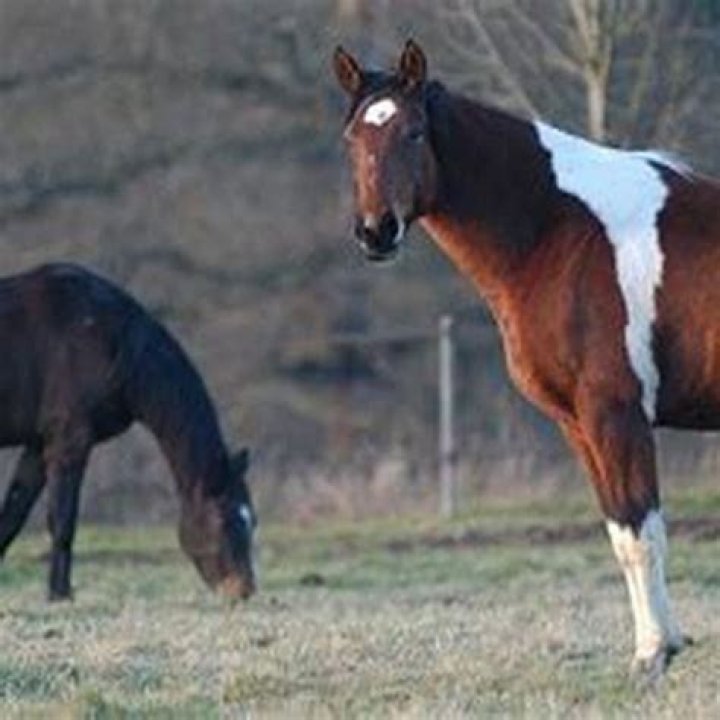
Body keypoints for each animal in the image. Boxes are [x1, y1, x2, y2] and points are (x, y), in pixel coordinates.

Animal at [0, 263, 256, 601]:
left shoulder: (38, 445)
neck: (111, 337)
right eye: (223, 518)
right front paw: (60, 594)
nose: (243, 589)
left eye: (251, 519)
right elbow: (63, 520)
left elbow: (12, 516)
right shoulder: (68, 443)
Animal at [333, 39, 720, 680]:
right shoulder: (578, 426)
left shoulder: (616, 415)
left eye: (414, 132)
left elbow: (642, 534)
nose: (376, 232)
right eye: (351, 139)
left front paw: (651, 653)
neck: (560, 232)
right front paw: (663, 643)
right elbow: (621, 533)